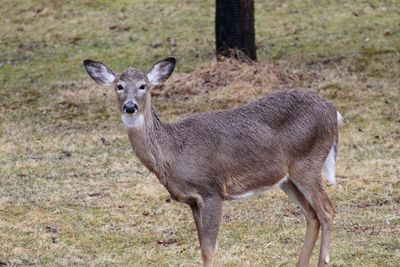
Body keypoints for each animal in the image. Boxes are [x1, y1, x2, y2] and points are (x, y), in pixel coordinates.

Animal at [83, 57, 342, 267]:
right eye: (118, 86)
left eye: (143, 86)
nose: (130, 106)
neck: (174, 152)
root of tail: (334, 111)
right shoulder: (192, 200)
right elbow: (202, 247)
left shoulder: (212, 190)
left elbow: (209, 250)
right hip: (286, 178)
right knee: (312, 215)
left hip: (307, 162)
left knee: (327, 210)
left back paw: (323, 260)